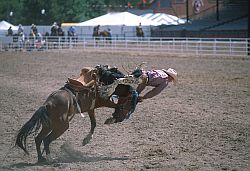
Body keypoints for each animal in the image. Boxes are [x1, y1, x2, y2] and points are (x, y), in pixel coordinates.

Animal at [14, 65, 142, 163]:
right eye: (131, 105)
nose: (121, 119)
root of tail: (47, 104)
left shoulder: (91, 108)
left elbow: (94, 123)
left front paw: (87, 139)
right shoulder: (104, 101)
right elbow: (118, 106)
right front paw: (113, 118)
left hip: (49, 125)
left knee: (38, 138)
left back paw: (41, 159)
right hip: (62, 126)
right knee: (46, 139)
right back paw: (50, 159)